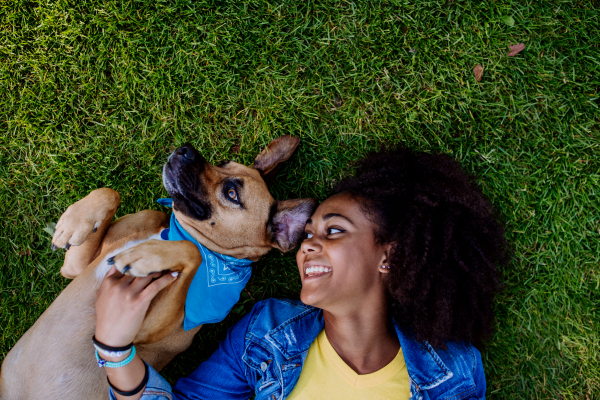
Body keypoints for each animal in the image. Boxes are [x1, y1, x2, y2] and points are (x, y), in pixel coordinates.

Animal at [0, 136, 316, 398]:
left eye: (231, 193)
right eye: (224, 163)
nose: (186, 150)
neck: (173, 232)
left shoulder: (138, 332)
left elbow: (191, 252)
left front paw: (147, 256)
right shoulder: (75, 268)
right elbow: (109, 192)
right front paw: (71, 223)